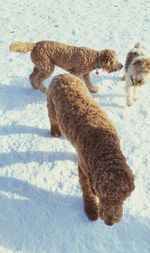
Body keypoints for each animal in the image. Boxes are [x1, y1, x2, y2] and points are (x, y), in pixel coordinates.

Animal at [47, 72, 135, 225]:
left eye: (123, 198)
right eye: (103, 196)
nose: (109, 223)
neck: (104, 148)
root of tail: (61, 75)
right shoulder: (83, 169)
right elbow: (87, 191)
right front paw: (91, 210)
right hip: (51, 106)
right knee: (52, 119)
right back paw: (55, 131)